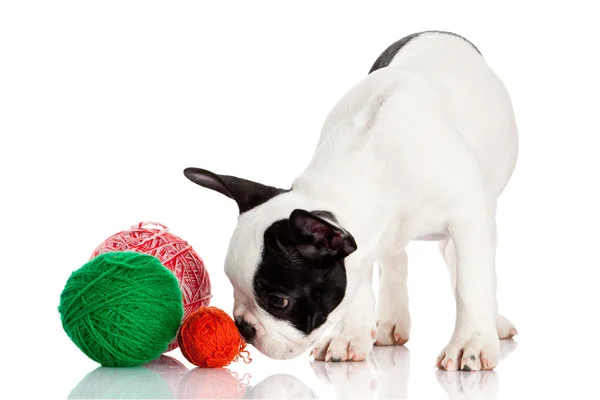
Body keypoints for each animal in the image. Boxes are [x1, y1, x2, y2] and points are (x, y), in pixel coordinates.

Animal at [185, 31, 516, 372]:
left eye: (278, 301)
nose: (243, 327)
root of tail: (436, 32)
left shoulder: (469, 221)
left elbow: (469, 284)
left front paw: (471, 343)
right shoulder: (360, 246)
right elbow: (358, 287)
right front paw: (350, 336)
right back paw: (391, 321)